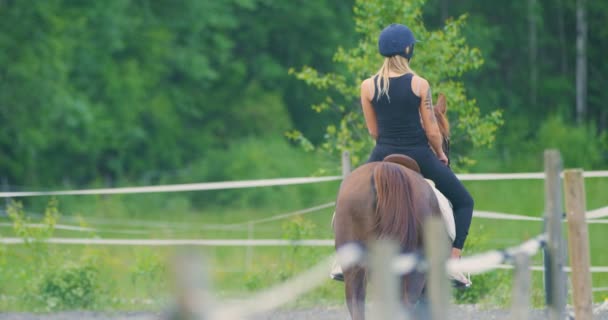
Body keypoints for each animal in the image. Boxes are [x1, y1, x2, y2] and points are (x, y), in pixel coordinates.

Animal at [332, 94, 452, 318]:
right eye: (446, 139)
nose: (446, 161)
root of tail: (388, 168)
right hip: (414, 270)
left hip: (357, 268)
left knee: (357, 303)